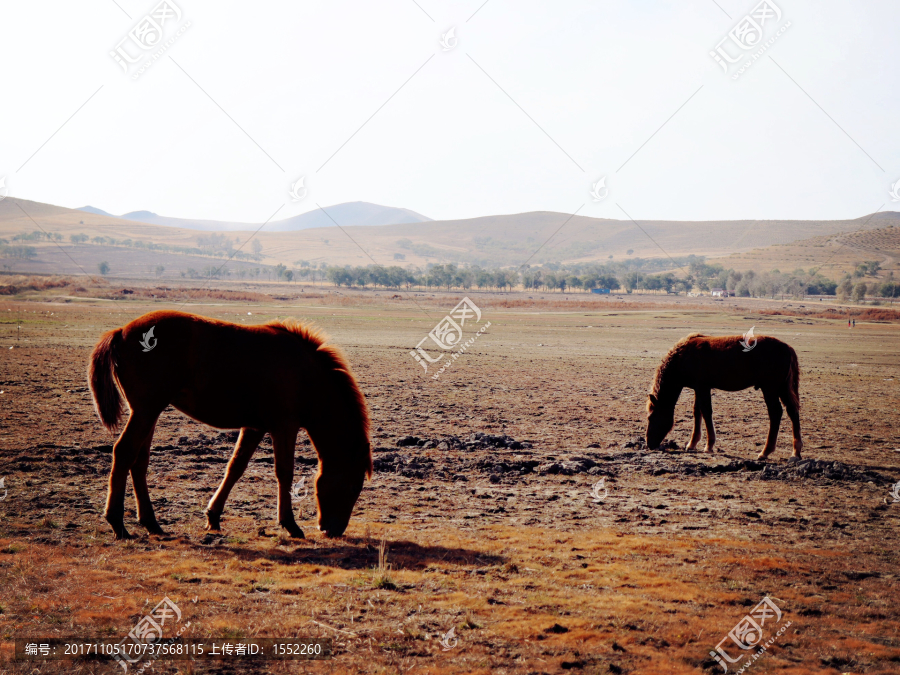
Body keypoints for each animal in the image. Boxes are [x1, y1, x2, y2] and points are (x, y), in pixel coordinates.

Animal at [89, 310, 372, 540]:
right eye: (352, 486)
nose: (333, 530)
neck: (306, 377)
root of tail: (121, 332)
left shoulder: (255, 427)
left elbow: (235, 468)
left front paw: (213, 517)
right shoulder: (284, 427)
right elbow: (284, 473)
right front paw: (290, 524)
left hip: (148, 413)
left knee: (139, 461)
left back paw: (151, 523)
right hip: (146, 412)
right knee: (124, 453)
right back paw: (117, 523)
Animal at [648, 332, 800, 460]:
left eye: (651, 417)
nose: (649, 444)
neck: (683, 357)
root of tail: (787, 348)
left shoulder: (703, 387)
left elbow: (706, 411)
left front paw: (709, 446)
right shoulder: (699, 388)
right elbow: (697, 412)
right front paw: (692, 444)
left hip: (770, 389)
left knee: (775, 413)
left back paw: (765, 451)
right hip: (782, 389)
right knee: (792, 412)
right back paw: (795, 452)